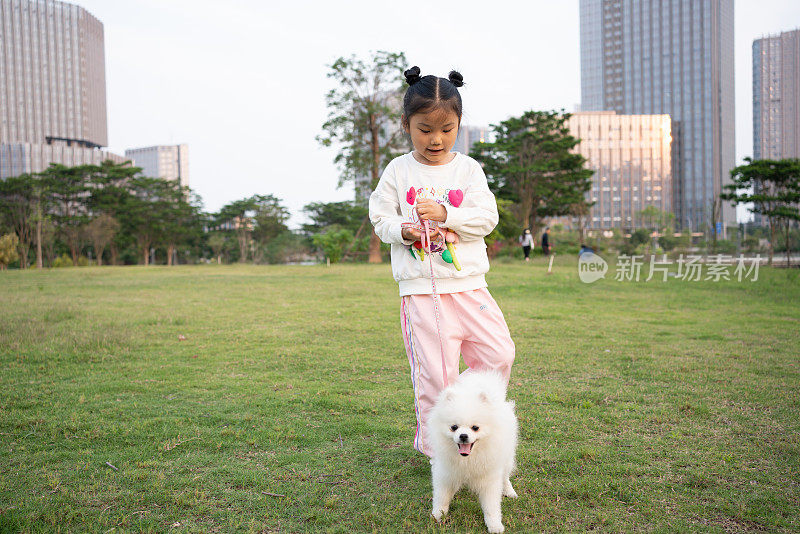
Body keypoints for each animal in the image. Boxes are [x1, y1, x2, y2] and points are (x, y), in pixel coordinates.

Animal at [432, 372, 520, 534]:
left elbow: (491, 506)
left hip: (506, 457)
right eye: (454, 427)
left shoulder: (489, 478)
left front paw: (495, 525)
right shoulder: (445, 473)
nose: (463, 436)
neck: (468, 459)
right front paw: (437, 516)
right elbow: (441, 498)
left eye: (475, 428)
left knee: (505, 476)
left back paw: (509, 491)